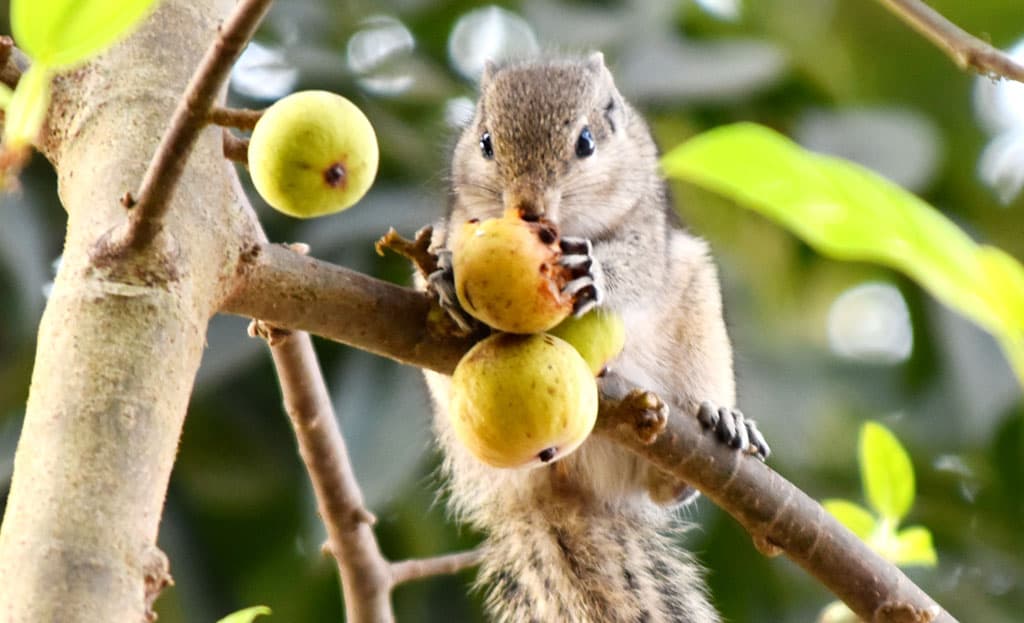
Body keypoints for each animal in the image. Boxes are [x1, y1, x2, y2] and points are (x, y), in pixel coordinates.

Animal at [417, 53, 770, 623]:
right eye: (485, 142)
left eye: (586, 142)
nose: (529, 207)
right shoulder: (454, 222)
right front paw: (446, 276)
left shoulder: (645, 226)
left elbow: (635, 264)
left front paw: (595, 272)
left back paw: (718, 424)